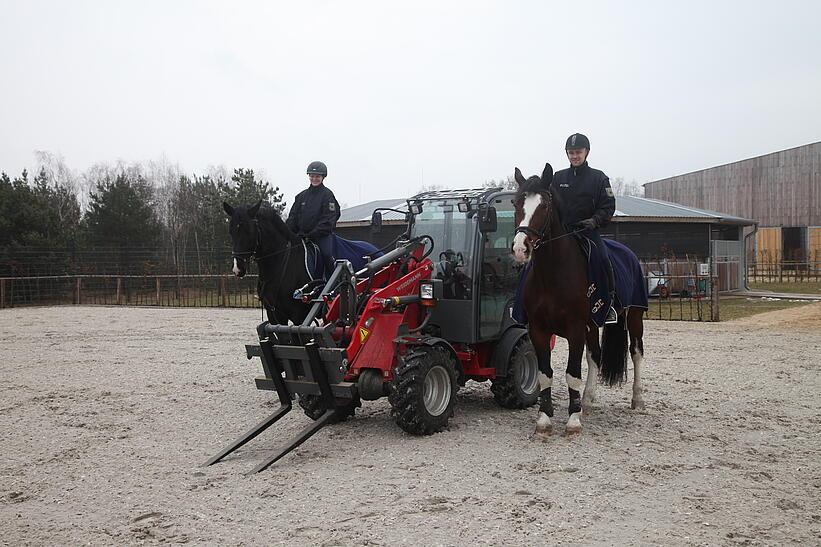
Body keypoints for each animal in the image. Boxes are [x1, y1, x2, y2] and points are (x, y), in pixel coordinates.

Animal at [510, 163, 644, 436]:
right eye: (516, 203)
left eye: (544, 206)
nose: (520, 249)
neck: (552, 275)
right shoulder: (539, 330)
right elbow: (545, 374)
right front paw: (544, 419)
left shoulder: (574, 330)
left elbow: (572, 373)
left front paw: (573, 420)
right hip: (592, 325)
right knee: (595, 356)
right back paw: (588, 400)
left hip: (634, 316)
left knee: (636, 352)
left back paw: (637, 399)